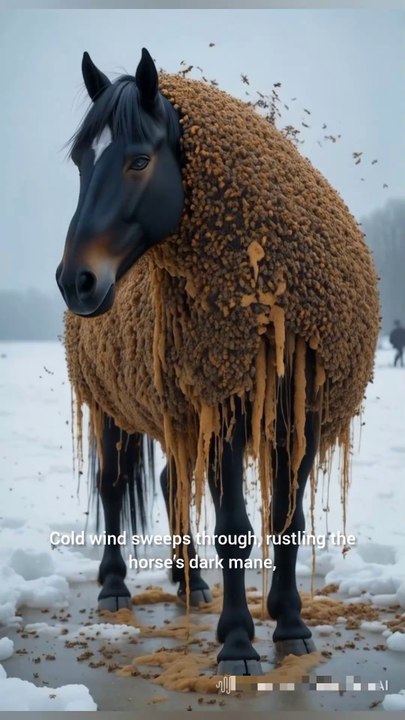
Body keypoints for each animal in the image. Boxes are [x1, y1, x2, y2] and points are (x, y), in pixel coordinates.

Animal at [56, 48, 379, 677]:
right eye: (81, 160)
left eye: (138, 160)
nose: (76, 281)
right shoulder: (222, 402)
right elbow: (235, 527)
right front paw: (237, 642)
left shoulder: (298, 415)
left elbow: (287, 522)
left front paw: (291, 623)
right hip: (112, 410)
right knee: (113, 485)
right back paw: (115, 586)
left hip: (179, 419)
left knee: (170, 483)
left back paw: (190, 580)